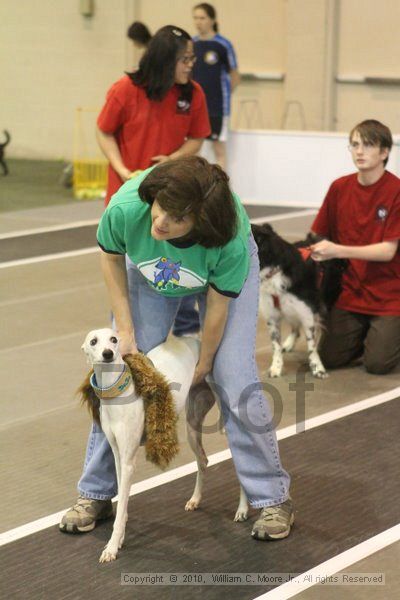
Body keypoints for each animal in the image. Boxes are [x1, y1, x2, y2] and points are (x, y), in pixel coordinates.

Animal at [80, 328, 248, 564]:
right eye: (93, 341)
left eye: (113, 339)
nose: (108, 354)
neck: (119, 394)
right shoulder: (118, 456)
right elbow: (122, 501)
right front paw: (119, 540)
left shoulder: (129, 461)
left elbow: (121, 508)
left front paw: (112, 547)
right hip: (192, 426)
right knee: (203, 460)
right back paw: (195, 499)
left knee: (241, 462)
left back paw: (242, 509)